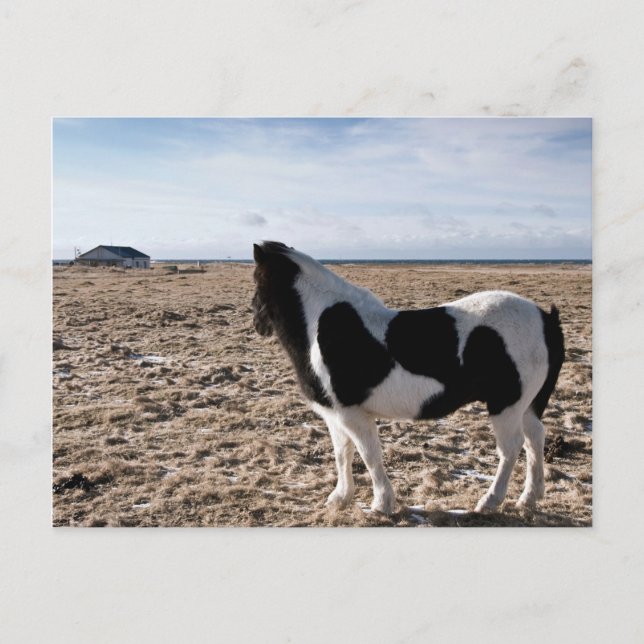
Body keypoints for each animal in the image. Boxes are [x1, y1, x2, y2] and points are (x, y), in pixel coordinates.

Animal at [252, 241, 564, 515]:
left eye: (257, 280)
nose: (257, 324)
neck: (323, 326)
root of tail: (546, 320)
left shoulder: (351, 414)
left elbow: (369, 455)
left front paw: (381, 504)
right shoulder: (335, 415)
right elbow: (343, 454)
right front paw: (340, 498)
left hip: (506, 406)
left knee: (511, 448)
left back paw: (489, 502)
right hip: (525, 406)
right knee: (535, 438)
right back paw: (529, 498)